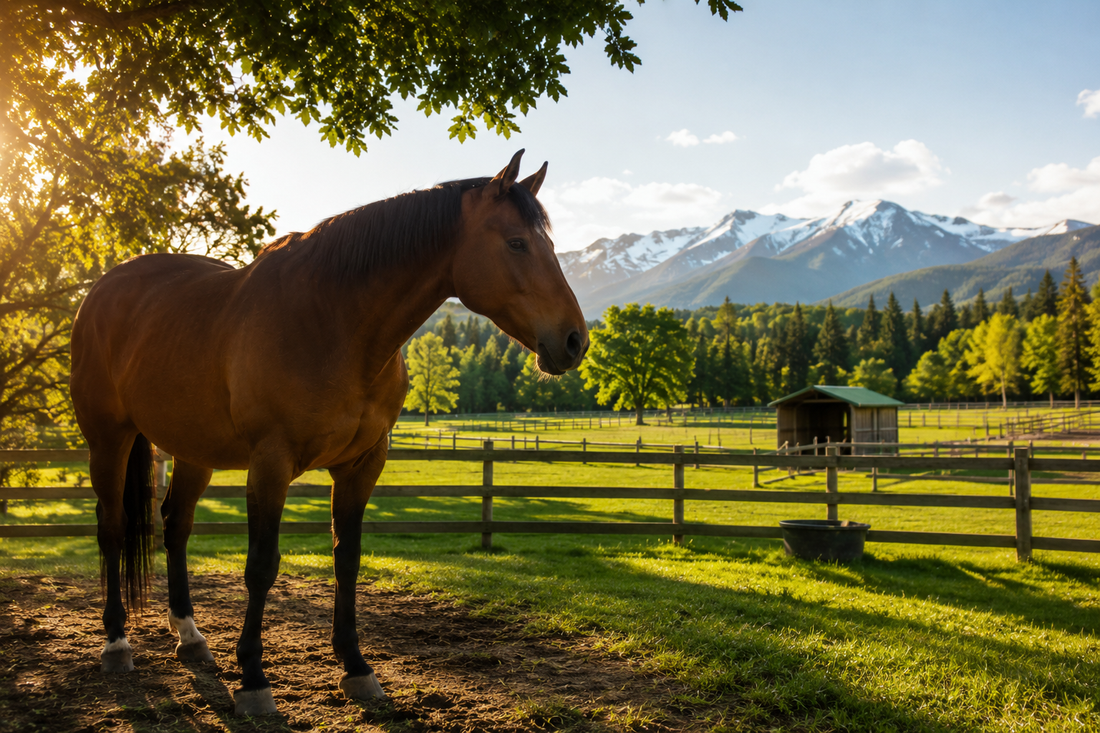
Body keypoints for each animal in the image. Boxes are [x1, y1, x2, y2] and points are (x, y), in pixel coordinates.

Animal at [69, 150, 588, 716]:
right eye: (516, 242)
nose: (575, 340)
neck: (335, 322)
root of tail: (103, 289)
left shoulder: (362, 465)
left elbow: (348, 560)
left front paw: (356, 667)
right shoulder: (270, 464)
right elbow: (261, 565)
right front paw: (253, 678)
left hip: (194, 451)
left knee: (175, 525)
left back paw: (190, 636)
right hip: (108, 440)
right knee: (112, 527)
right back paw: (116, 643)